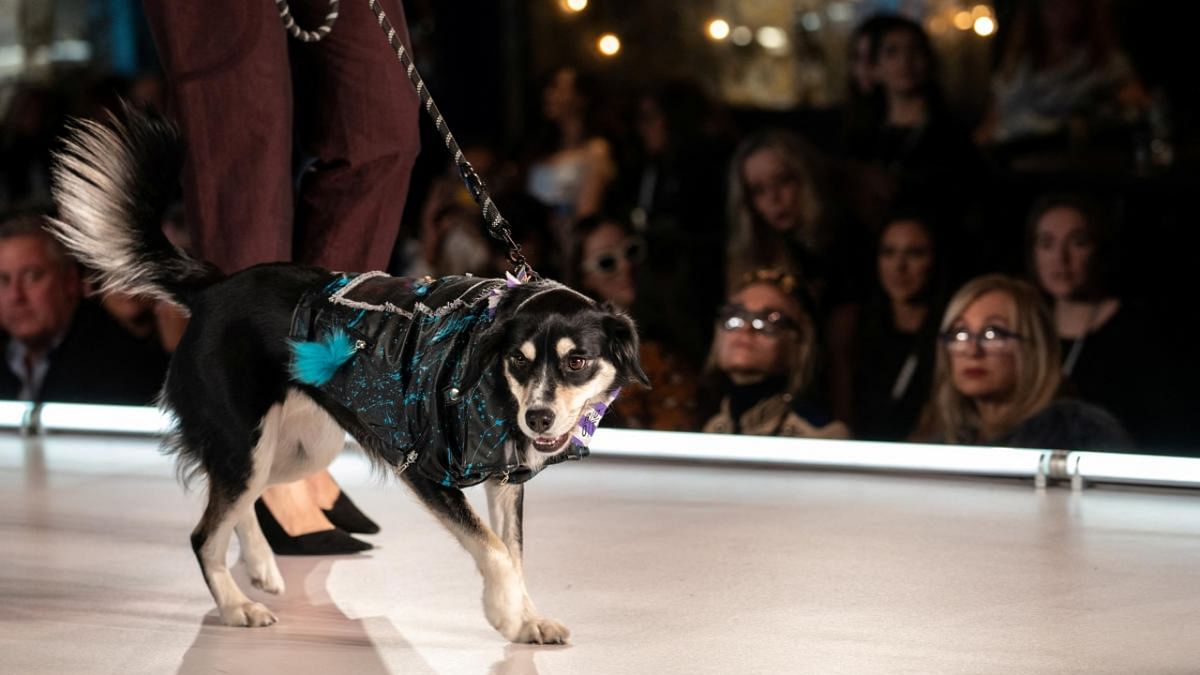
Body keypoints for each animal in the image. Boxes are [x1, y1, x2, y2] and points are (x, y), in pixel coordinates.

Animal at [46, 110, 648, 638]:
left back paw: (261, 566)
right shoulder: (425, 468)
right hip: (247, 442)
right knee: (203, 534)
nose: (538, 417)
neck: (488, 375)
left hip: (297, 451)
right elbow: (496, 551)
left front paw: (526, 619)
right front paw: (505, 617)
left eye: (576, 361)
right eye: (518, 360)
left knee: (241, 503)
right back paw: (237, 607)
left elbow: (515, 553)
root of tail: (214, 289)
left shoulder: (505, 479)